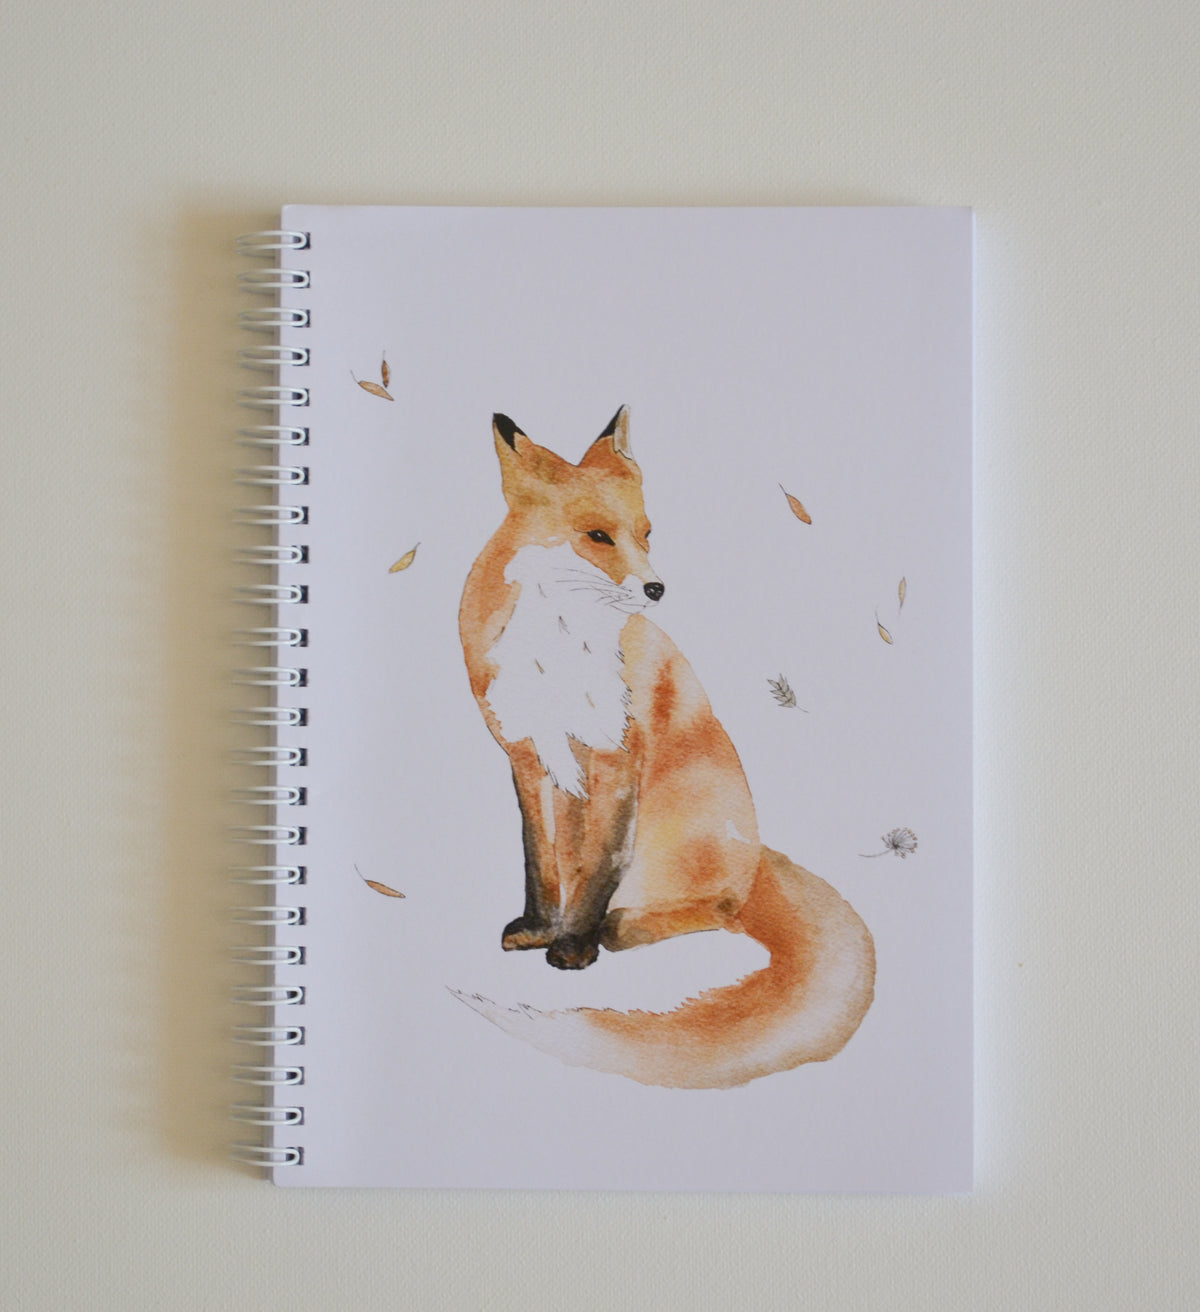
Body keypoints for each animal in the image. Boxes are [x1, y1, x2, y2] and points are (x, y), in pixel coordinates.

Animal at [455, 406, 875, 1089]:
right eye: (598, 536)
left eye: (648, 533)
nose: (656, 590)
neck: (553, 653)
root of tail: (759, 853)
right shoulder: (527, 755)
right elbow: (539, 860)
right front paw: (542, 928)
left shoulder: (618, 755)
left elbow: (600, 865)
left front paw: (573, 946)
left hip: (682, 828)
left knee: (718, 907)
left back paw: (620, 927)